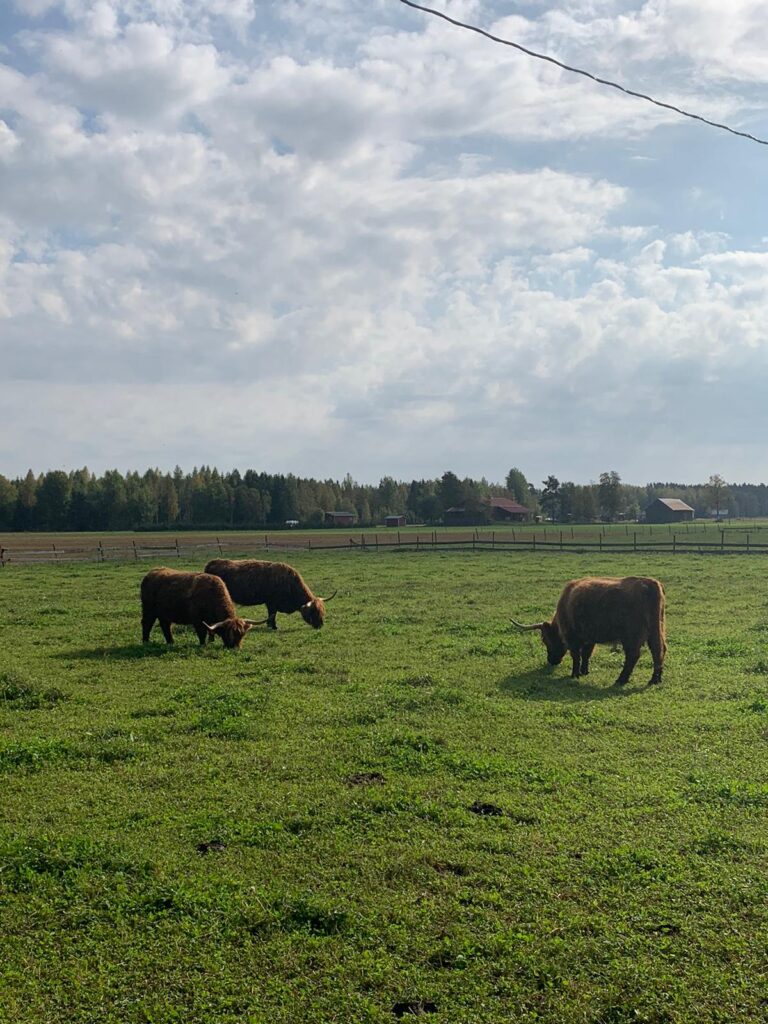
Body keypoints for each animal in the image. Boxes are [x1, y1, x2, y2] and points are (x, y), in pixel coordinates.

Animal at [204, 561, 335, 630]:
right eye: (313, 612)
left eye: (322, 611)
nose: (320, 625)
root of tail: (213, 562)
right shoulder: (271, 603)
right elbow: (272, 615)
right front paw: (273, 626)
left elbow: (272, 615)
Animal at [512, 577, 667, 688]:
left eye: (544, 639)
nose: (551, 661)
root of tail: (650, 583)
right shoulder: (590, 638)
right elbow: (586, 654)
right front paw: (584, 671)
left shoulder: (572, 637)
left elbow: (576, 655)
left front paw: (575, 674)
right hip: (656, 630)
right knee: (658, 650)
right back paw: (655, 679)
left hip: (632, 636)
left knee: (633, 656)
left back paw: (621, 679)